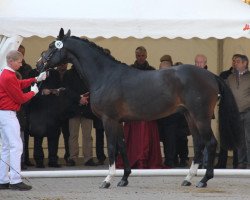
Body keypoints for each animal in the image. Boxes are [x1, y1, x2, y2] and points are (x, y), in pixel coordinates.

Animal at [37, 28, 242, 189]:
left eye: (51, 46)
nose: (39, 64)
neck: (105, 75)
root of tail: (211, 75)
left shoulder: (108, 120)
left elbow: (112, 147)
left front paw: (108, 179)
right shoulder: (118, 121)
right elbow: (122, 146)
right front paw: (124, 178)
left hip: (201, 117)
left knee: (211, 143)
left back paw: (204, 180)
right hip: (190, 116)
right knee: (199, 144)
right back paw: (188, 178)